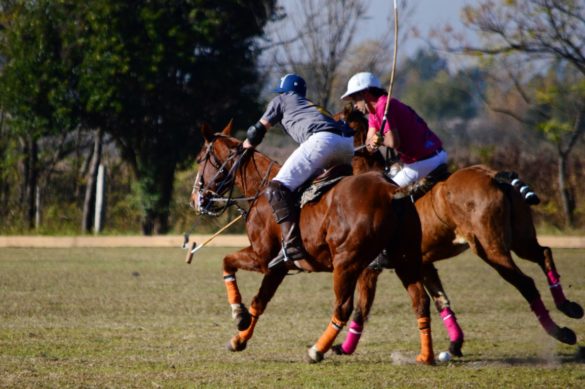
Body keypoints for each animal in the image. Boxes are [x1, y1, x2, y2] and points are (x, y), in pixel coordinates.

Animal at [189, 122, 436, 364]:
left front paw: (238, 314)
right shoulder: (278, 266)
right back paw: (426, 356)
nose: (194, 201)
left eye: (200, 159)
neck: (258, 190)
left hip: (346, 263)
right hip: (406, 259)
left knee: (343, 307)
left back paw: (316, 350)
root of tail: (391, 190)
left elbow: (226, 261)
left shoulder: (262, 257)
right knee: (421, 301)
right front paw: (238, 340)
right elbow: (259, 301)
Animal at [330, 107, 580, 356]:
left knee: (526, 283)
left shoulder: (370, 267)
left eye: (334, 122)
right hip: (521, 237)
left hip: (490, 248)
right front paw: (454, 344)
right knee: (543, 252)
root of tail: (493, 176)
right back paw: (568, 306)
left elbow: (361, 308)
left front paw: (344, 347)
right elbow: (441, 300)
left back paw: (561, 332)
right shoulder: (424, 263)